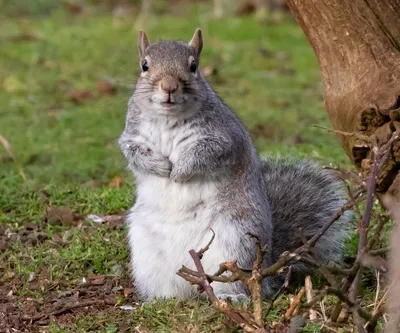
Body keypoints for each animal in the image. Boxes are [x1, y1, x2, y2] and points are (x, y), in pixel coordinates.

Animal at [117, 27, 352, 300]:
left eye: (194, 66)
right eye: (144, 65)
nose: (169, 86)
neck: (168, 119)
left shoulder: (224, 138)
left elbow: (206, 154)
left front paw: (179, 171)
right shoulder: (132, 135)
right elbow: (132, 152)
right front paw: (160, 167)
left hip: (236, 241)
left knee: (235, 280)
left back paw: (230, 296)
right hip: (146, 253)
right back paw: (161, 299)